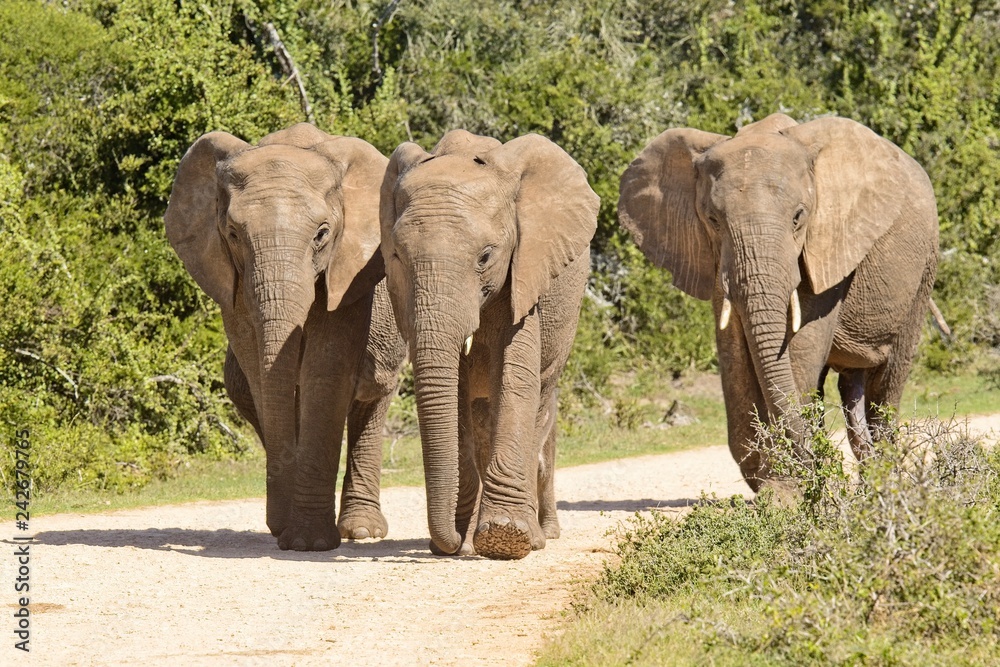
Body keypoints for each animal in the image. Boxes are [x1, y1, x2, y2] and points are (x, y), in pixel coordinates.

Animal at [164, 123, 406, 550]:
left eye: (322, 234)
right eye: (232, 233)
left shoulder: (348, 272)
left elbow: (325, 368)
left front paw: (308, 543)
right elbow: (259, 370)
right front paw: (289, 531)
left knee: (373, 396)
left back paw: (360, 531)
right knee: (245, 387)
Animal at [380, 130, 599, 559]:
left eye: (485, 256)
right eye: (397, 256)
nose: (443, 545)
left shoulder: (525, 271)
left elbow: (516, 378)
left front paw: (506, 538)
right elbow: (457, 396)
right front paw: (464, 541)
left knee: (541, 405)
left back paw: (541, 535)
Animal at [618, 113, 939, 491]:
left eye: (798, 217)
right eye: (713, 220)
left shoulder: (827, 242)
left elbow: (799, 347)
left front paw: (788, 491)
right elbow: (735, 351)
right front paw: (783, 488)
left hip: (923, 270)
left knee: (885, 387)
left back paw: (884, 489)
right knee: (850, 391)